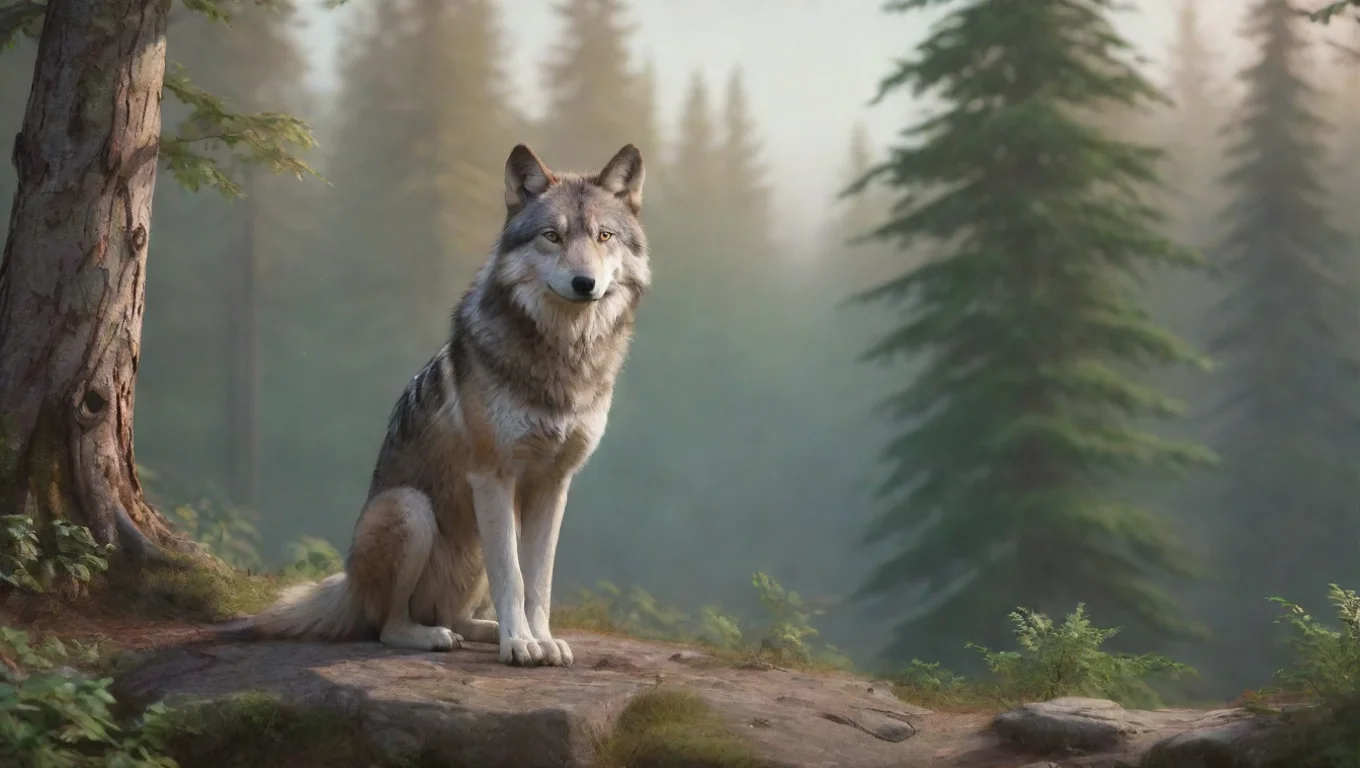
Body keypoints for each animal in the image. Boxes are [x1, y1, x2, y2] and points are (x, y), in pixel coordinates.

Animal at [230, 143, 649, 667]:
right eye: (552, 236)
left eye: (603, 236)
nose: (584, 282)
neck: (562, 357)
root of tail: (348, 586)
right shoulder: (493, 477)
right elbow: (514, 578)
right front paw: (520, 645)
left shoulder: (553, 485)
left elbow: (538, 583)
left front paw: (541, 639)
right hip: (411, 510)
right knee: (388, 626)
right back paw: (436, 636)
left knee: (455, 615)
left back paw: (483, 630)